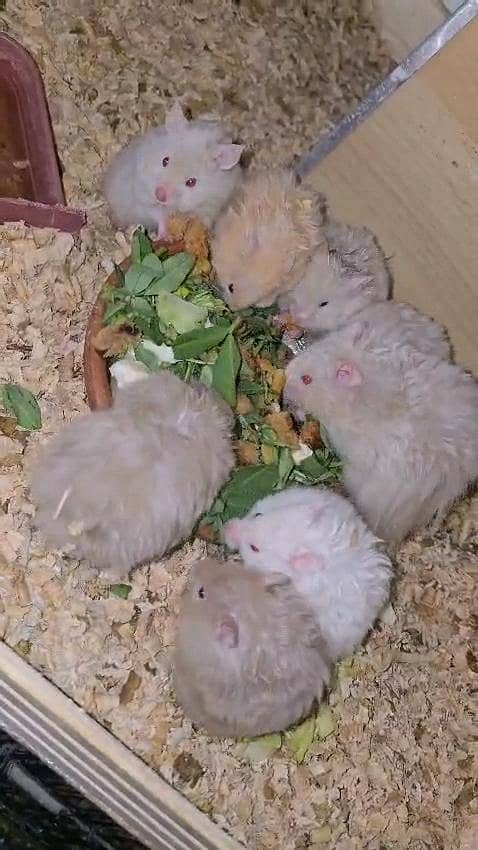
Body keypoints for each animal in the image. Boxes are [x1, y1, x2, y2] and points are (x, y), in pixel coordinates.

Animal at [103, 100, 244, 237]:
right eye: (165, 161)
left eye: (191, 182)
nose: (159, 195)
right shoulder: (140, 193)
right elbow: (157, 214)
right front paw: (165, 235)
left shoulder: (211, 204)